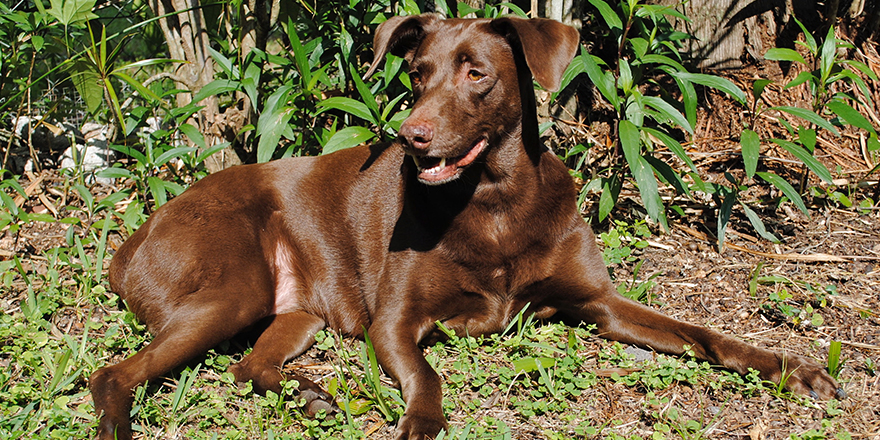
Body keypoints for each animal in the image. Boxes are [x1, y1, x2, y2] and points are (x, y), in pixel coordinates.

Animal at [91, 13, 844, 440]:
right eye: (416, 74)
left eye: (476, 73)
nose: (410, 136)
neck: (498, 201)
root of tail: (133, 241)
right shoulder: (394, 321)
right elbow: (427, 378)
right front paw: (422, 424)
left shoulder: (599, 302)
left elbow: (705, 335)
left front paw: (793, 369)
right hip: (232, 287)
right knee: (112, 374)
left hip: (295, 312)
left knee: (249, 363)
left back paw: (309, 396)